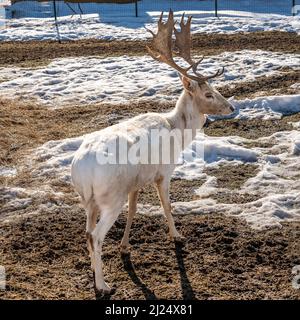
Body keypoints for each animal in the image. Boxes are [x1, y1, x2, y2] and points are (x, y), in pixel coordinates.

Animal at [71, 10, 234, 296]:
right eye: (208, 93)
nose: (232, 107)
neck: (178, 131)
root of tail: (81, 170)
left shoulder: (135, 183)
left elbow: (134, 210)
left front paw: (125, 247)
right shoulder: (163, 172)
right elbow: (166, 204)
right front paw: (177, 236)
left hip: (88, 200)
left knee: (87, 232)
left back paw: (94, 270)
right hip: (110, 197)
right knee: (95, 235)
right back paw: (103, 285)